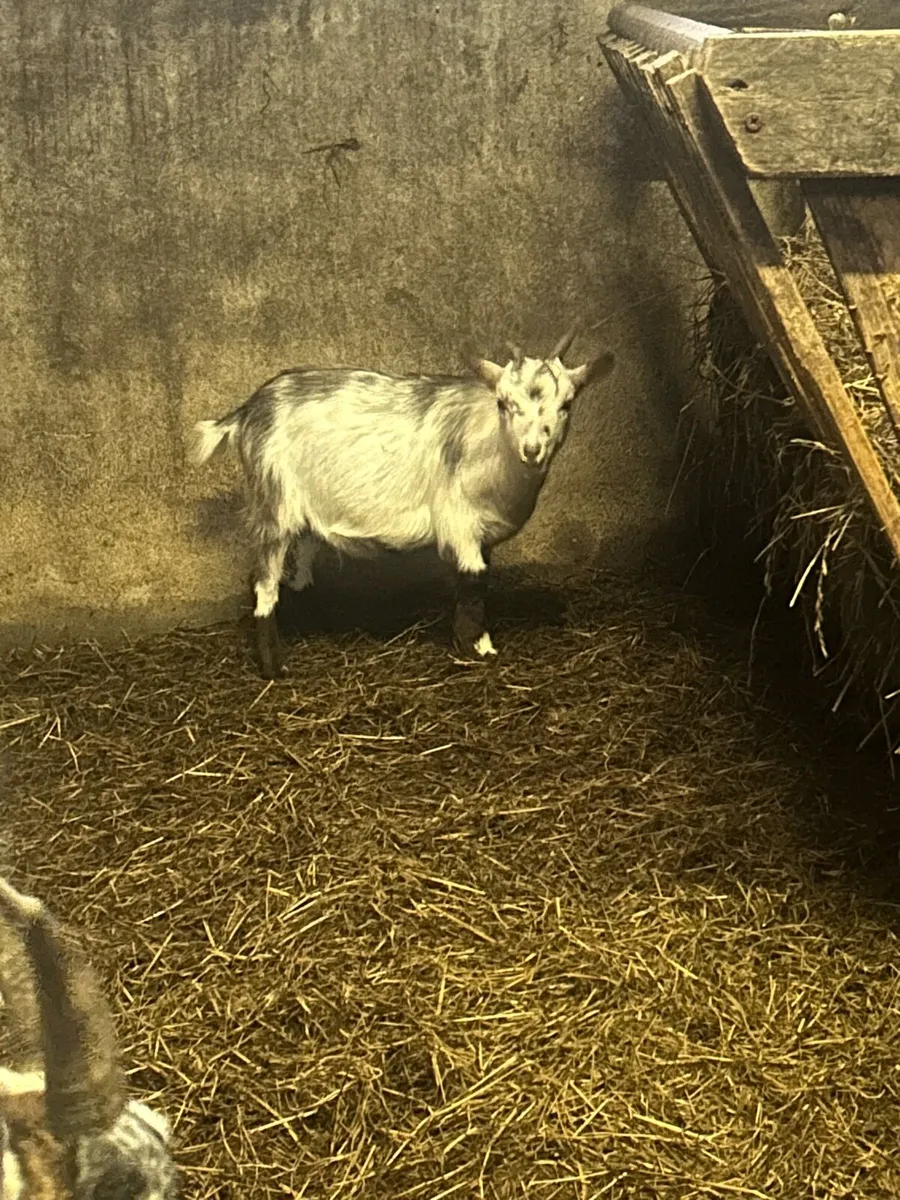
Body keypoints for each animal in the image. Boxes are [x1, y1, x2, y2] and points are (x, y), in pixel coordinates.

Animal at [194, 329, 615, 678]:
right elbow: (474, 580)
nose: (532, 449)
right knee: (264, 583)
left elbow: (473, 581)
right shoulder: (459, 522)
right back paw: (274, 667)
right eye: (503, 402)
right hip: (274, 503)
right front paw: (479, 649)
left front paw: (471, 642)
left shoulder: (481, 533)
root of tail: (247, 412)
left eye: (567, 404)